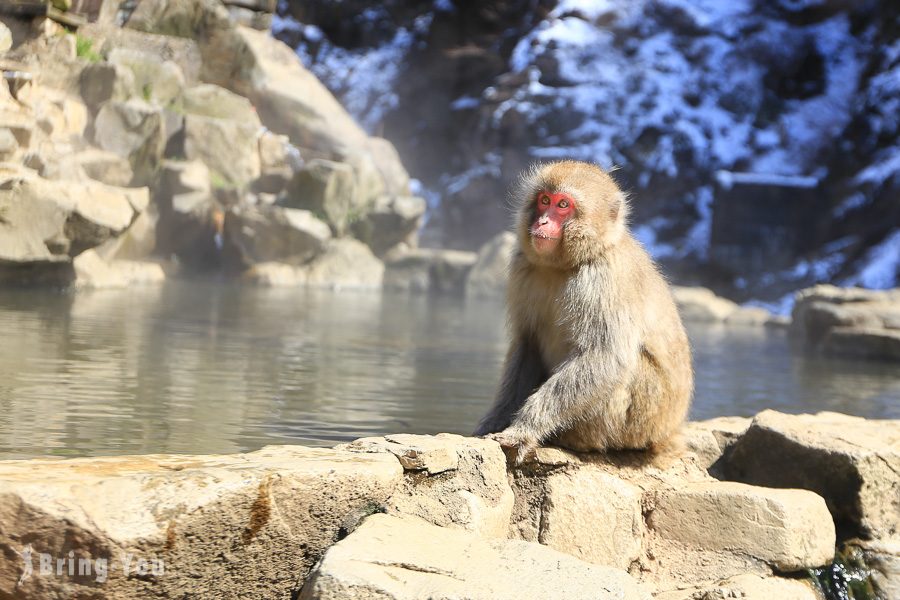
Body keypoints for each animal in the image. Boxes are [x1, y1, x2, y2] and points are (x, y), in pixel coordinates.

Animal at [474, 162, 692, 462]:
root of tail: (668, 429)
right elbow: (527, 344)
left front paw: (524, 430)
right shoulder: (522, 266)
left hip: (639, 416)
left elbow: (605, 357)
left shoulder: (602, 280)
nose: (542, 222)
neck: (566, 264)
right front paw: (495, 420)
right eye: (545, 200)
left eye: (563, 205)